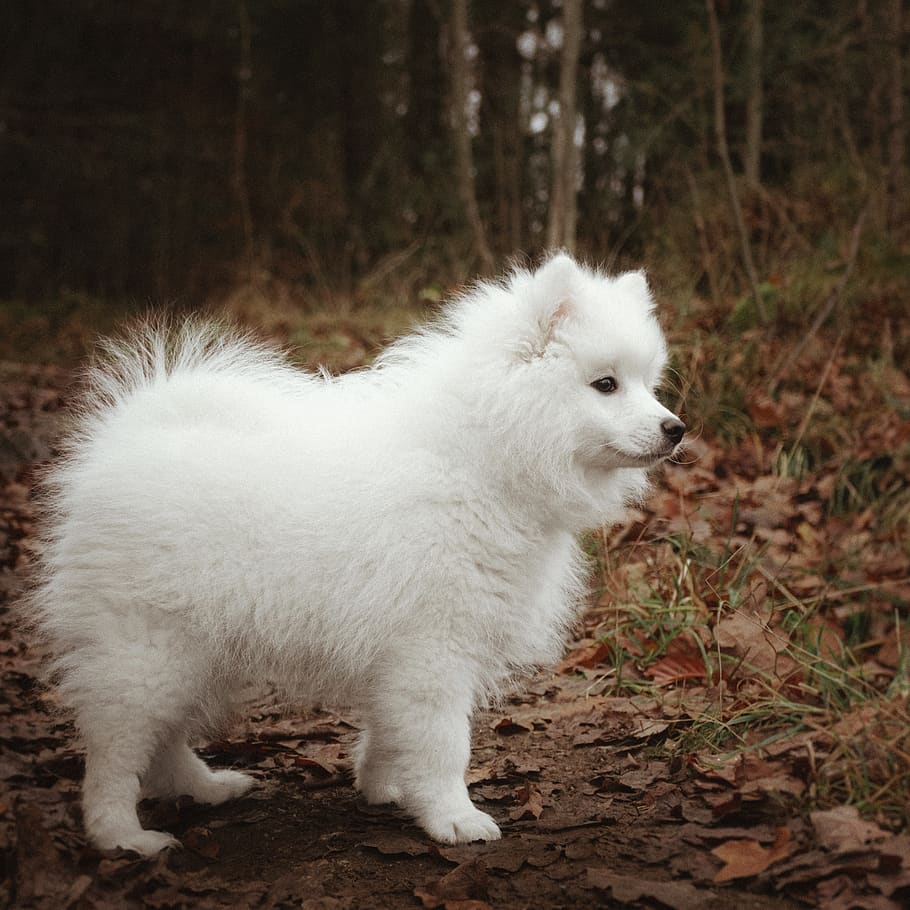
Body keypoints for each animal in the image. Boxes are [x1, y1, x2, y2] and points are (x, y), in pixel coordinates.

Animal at [30, 255, 684, 856]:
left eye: (649, 384)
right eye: (606, 384)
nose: (676, 427)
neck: (480, 459)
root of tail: (128, 437)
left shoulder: (402, 654)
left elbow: (391, 730)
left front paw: (382, 787)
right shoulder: (435, 647)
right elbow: (444, 742)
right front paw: (454, 818)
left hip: (202, 647)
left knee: (163, 739)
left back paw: (206, 787)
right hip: (146, 645)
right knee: (117, 747)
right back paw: (123, 836)